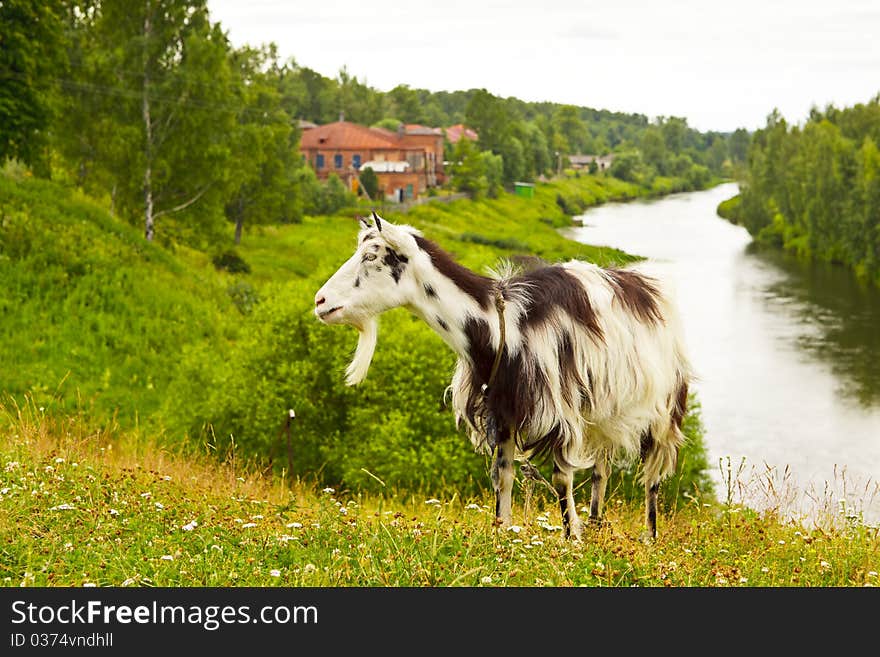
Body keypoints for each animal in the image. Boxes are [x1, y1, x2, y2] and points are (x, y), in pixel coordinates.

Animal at [316, 214, 696, 540]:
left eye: (370, 256)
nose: (320, 301)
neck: (505, 326)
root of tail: (652, 287)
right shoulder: (503, 413)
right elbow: (503, 476)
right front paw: (503, 534)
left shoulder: (559, 413)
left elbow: (562, 478)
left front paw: (571, 541)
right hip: (604, 412)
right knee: (601, 469)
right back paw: (596, 524)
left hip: (664, 407)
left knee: (652, 476)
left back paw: (648, 537)